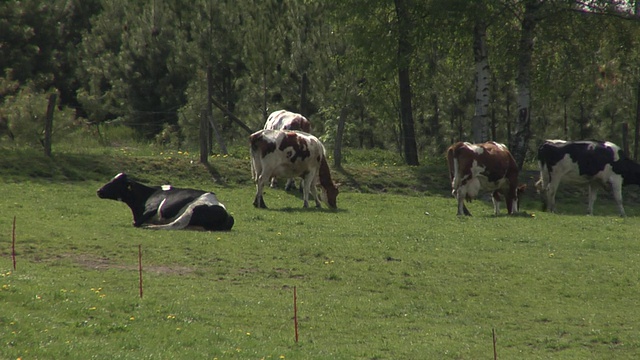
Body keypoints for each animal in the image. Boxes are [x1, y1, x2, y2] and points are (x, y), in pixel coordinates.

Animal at [97, 174, 232, 231]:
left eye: (116, 183)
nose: (99, 191)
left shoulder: (152, 207)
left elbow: (135, 223)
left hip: (191, 210)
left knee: (174, 225)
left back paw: (151, 226)